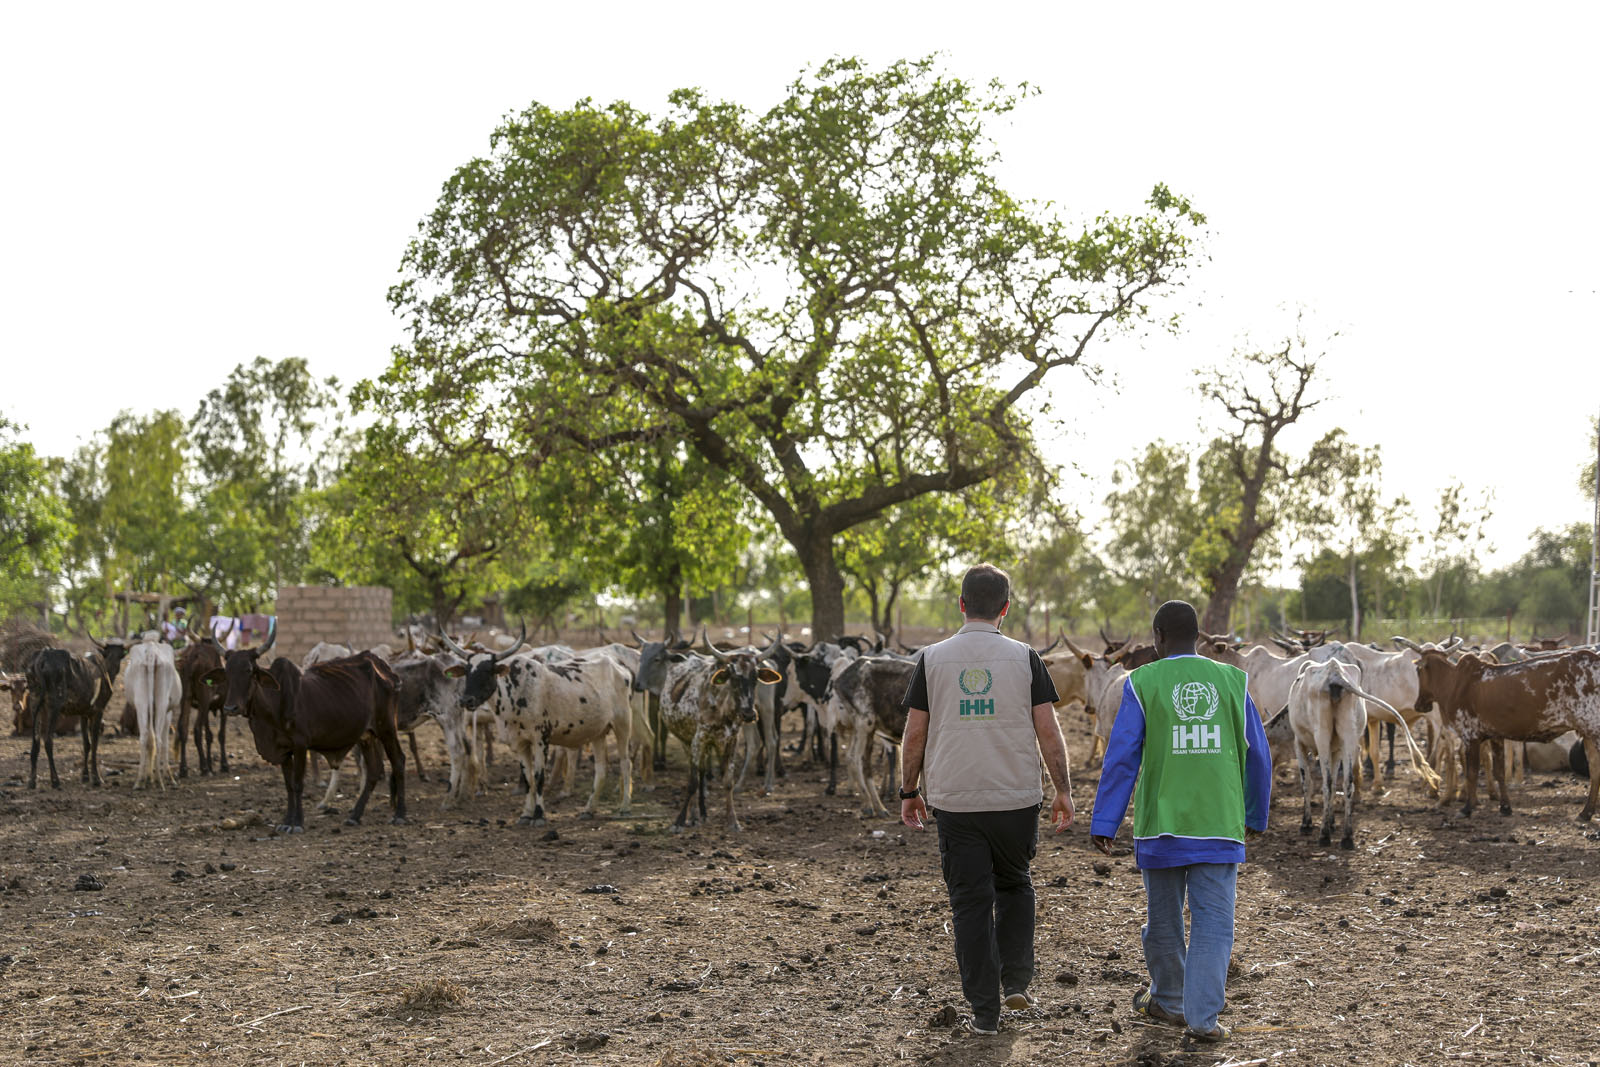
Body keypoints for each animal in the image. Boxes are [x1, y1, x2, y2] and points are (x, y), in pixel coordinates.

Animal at [206, 633, 409, 831]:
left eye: (248, 670)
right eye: (227, 672)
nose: (230, 708)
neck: (274, 703)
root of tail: (387, 670)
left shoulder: (300, 745)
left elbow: (297, 784)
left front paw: (297, 823)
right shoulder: (283, 750)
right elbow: (288, 785)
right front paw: (287, 821)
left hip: (387, 728)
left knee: (398, 761)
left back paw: (400, 815)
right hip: (366, 736)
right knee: (374, 770)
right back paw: (355, 816)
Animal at [1414, 646, 1600, 825]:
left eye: (1418, 670)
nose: (1419, 705)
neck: (1454, 683)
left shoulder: (1470, 736)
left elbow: (1472, 773)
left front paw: (1467, 809)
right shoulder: (1495, 736)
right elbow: (1499, 772)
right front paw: (1505, 807)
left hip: (1594, 730)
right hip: (1588, 734)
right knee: (1594, 770)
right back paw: (1585, 813)